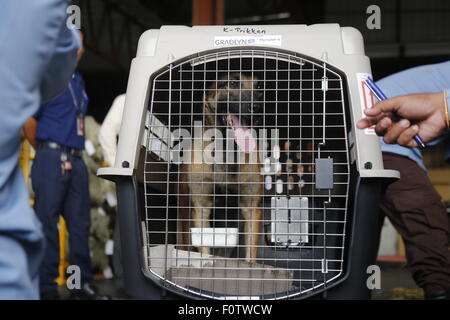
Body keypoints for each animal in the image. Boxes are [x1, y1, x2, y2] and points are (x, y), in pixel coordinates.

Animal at [178, 73, 264, 262]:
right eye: (232, 83)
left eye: (258, 88)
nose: (257, 107)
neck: (226, 151)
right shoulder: (201, 207)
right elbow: (203, 251)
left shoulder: (251, 209)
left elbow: (251, 257)